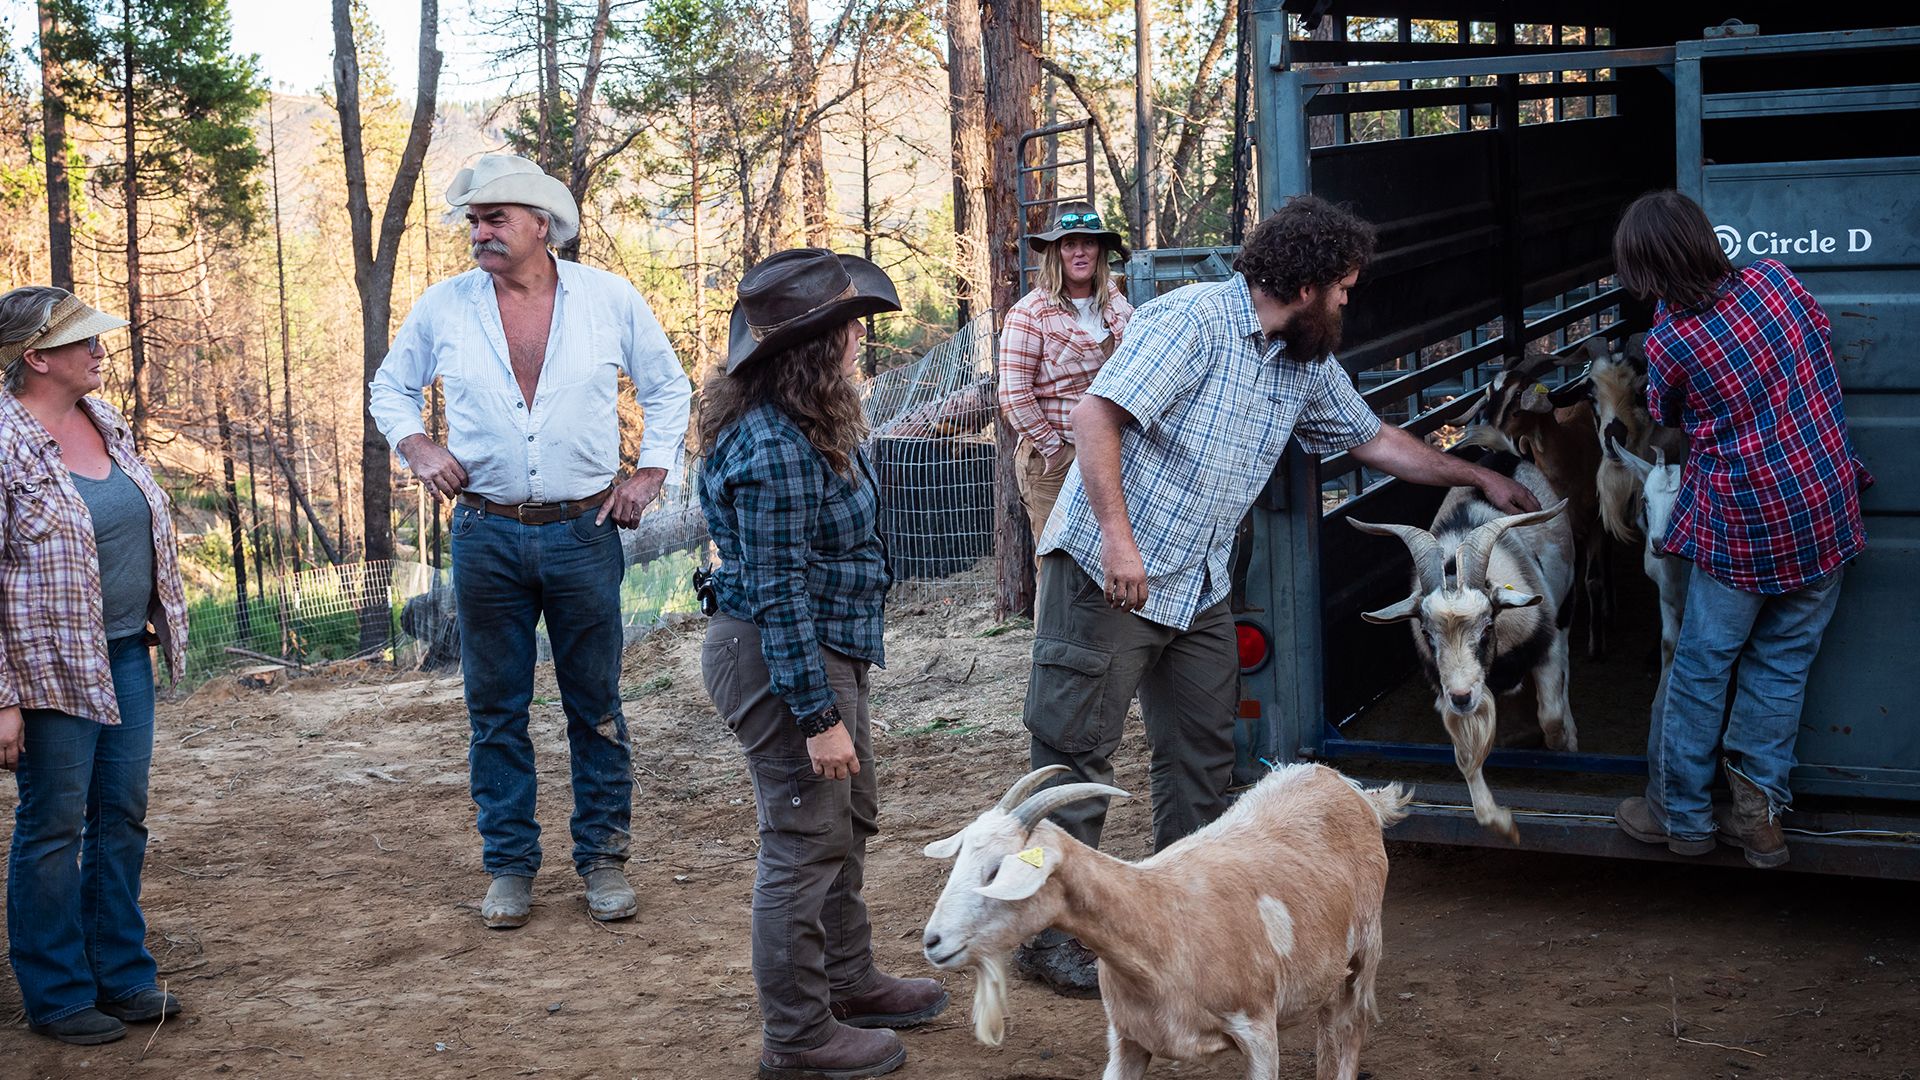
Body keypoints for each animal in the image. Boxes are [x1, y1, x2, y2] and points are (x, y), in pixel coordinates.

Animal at [917, 760, 1413, 1068]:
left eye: (995, 870)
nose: (932, 941)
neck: (1160, 922)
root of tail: (1348, 786)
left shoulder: (1258, 1030)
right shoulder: (1127, 1041)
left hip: (1364, 954)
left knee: (1347, 1034)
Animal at [1351, 457, 1574, 837]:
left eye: (1487, 627)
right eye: (1427, 633)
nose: (1461, 697)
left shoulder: (1547, 645)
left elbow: (1551, 717)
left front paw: (1561, 745)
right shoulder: (1448, 689)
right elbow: (1467, 756)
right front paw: (1498, 821)